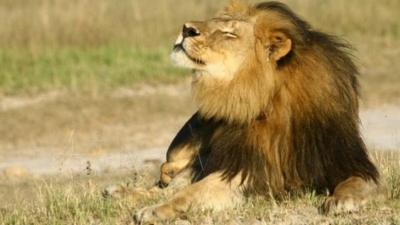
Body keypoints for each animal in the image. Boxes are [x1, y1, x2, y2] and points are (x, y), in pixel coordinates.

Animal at [131, 0, 384, 224]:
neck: (266, 97)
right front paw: (154, 210)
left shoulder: (345, 161)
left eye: (229, 34)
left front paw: (342, 201)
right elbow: (191, 191)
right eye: (215, 21)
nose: (186, 28)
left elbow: (358, 181)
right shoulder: (245, 169)